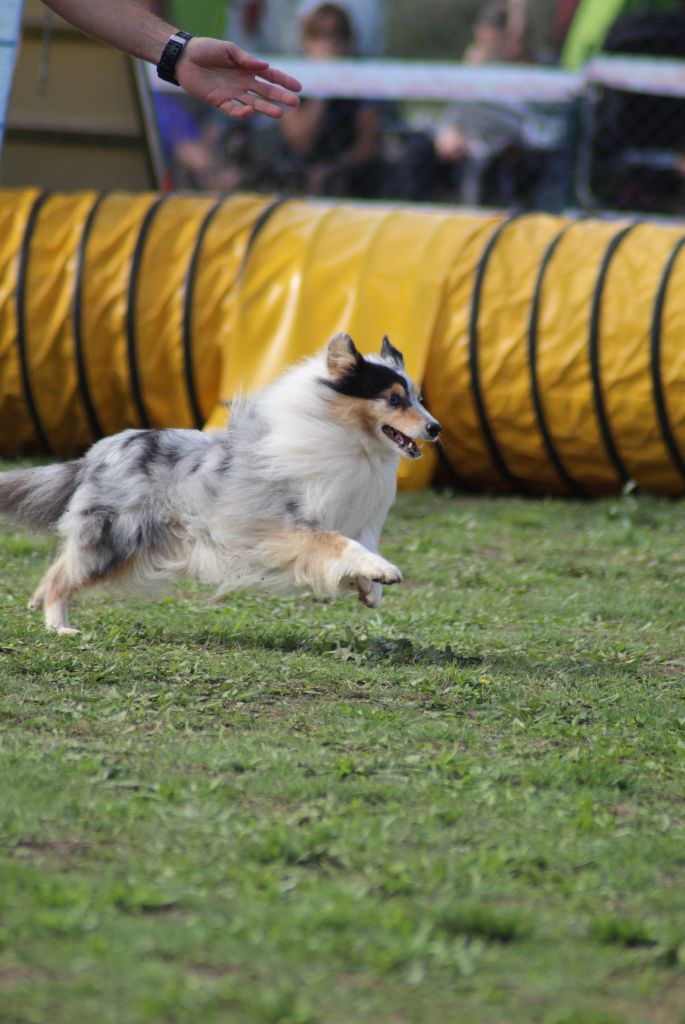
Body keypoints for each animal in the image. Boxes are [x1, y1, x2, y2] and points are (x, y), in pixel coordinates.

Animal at [0, 331, 438, 630]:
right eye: (393, 399)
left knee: (59, 568)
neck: (351, 443)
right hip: (118, 537)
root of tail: (98, 452)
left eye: (418, 398)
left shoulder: (351, 519)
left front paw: (370, 588)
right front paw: (384, 571)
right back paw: (60, 627)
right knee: (62, 576)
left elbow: (357, 548)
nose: (435, 428)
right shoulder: (287, 527)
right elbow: (340, 544)